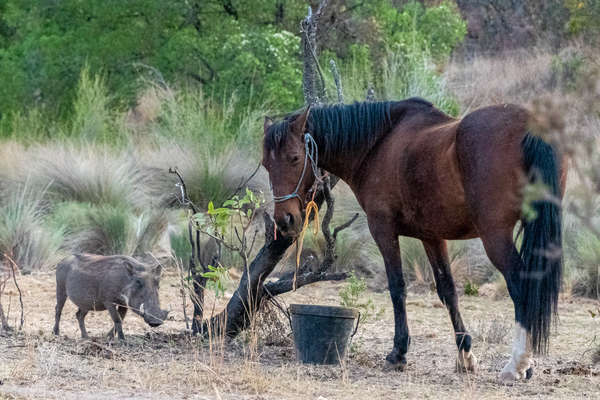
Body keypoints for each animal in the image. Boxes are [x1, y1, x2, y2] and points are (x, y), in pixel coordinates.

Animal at [262, 98, 564, 380]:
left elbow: (397, 288)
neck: (377, 144)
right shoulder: (432, 237)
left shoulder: (383, 230)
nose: (285, 220)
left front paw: (398, 353)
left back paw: (517, 364)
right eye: (266, 164)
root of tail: (530, 125)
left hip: (495, 237)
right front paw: (465, 356)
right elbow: (448, 292)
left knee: (521, 287)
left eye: (294, 158)